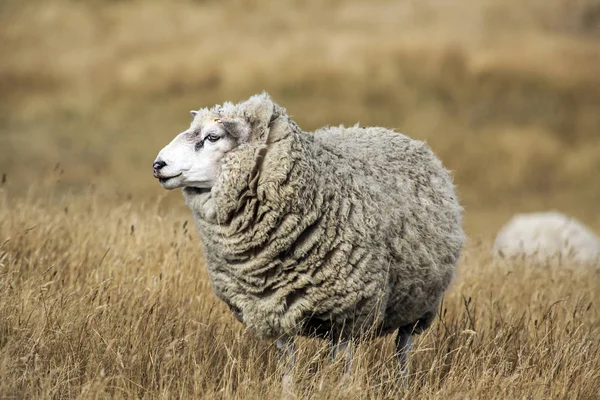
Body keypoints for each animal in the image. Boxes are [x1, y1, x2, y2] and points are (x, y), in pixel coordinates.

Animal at [152, 91, 466, 382]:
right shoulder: (272, 308)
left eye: (212, 136)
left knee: (403, 346)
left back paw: (402, 383)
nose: (158, 165)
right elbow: (288, 365)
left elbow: (344, 367)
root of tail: (397, 134)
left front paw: (342, 388)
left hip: (418, 302)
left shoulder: (348, 313)